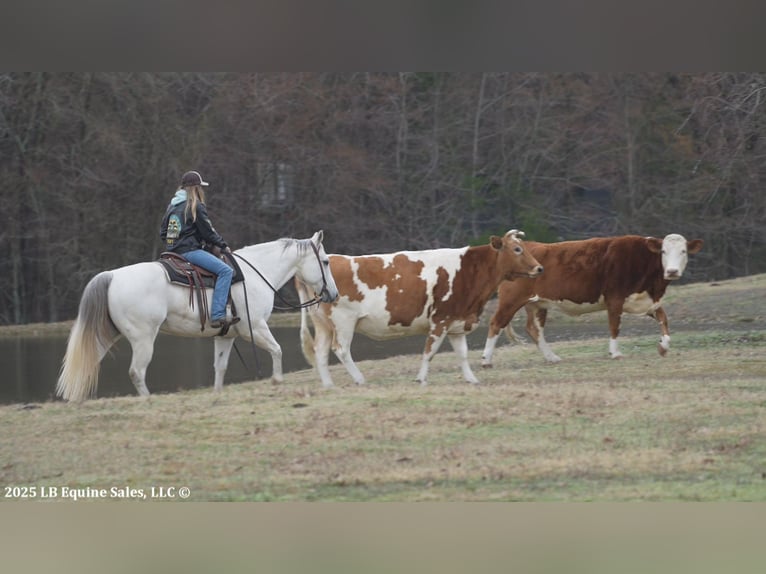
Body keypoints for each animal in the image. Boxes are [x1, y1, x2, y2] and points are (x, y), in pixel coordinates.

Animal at [55, 232, 338, 402]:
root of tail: (111, 276)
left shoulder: (226, 336)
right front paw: (277, 381)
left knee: (89, 360)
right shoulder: (255, 328)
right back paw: (147, 400)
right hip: (143, 338)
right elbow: (277, 349)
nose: (333, 294)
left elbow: (220, 366)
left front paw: (217, 393)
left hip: (107, 334)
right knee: (137, 371)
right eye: (325, 261)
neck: (254, 273)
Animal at [296, 232, 544, 390]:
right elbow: (429, 351)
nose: (539, 268)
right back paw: (359, 379)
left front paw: (472, 379)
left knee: (320, 352)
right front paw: (421, 379)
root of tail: (332, 258)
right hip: (344, 321)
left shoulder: (456, 323)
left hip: (323, 324)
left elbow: (462, 354)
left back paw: (329, 385)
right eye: (517, 249)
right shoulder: (440, 320)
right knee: (341, 350)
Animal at [484, 232, 704, 366]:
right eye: (664, 251)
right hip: (511, 300)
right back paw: (486, 359)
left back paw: (552, 357)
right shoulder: (614, 298)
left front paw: (663, 347)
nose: (672, 271)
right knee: (496, 323)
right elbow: (614, 326)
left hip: (537, 304)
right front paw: (615, 353)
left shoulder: (645, 300)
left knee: (534, 329)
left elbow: (664, 319)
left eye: (683, 251)